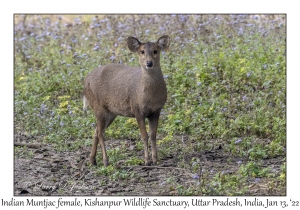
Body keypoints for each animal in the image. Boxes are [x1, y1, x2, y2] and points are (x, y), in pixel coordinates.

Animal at [83, 35, 170, 167]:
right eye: (142, 51)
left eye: (156, 51)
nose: (149, 63)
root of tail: (85, 80)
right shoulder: (137, 110)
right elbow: (144, 136)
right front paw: (147, 160)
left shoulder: (156, 111)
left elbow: (153, 135)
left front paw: (155, 159)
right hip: (98, 106)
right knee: (100, 132)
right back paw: (105, 161)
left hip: (111, 112)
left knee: (96, 130)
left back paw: (92, 160)